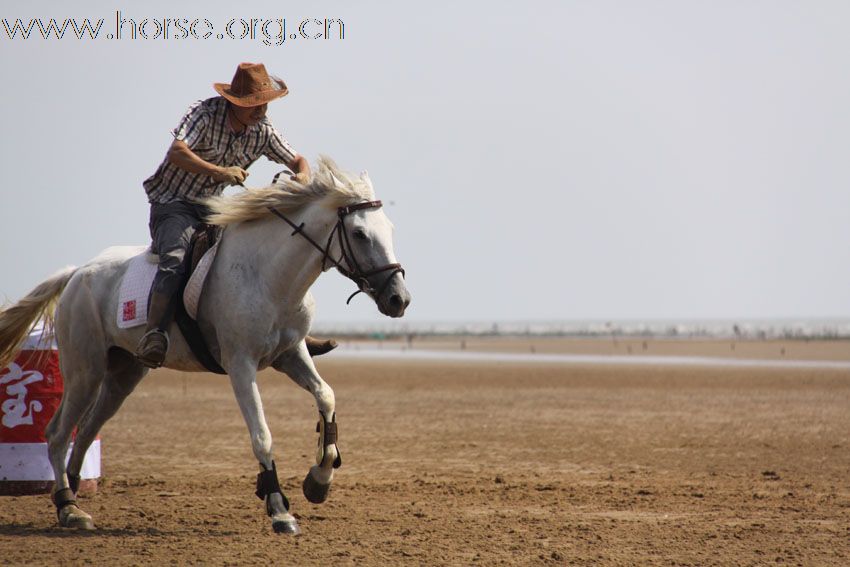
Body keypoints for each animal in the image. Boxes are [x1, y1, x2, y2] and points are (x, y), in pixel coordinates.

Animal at [0, 156, 410, 536]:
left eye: (389, 229)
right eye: (359, 234)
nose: (399, 299)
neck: (268, 275)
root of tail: (77, 273)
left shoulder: (291, 355)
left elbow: (326, 396)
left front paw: (318, 481)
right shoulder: (241, 365)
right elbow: (262, 435)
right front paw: (279, 509)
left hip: (122, 376)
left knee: (84, 432)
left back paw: (72, 499)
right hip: (85, 371)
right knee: (57, 434)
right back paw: (67, 507)